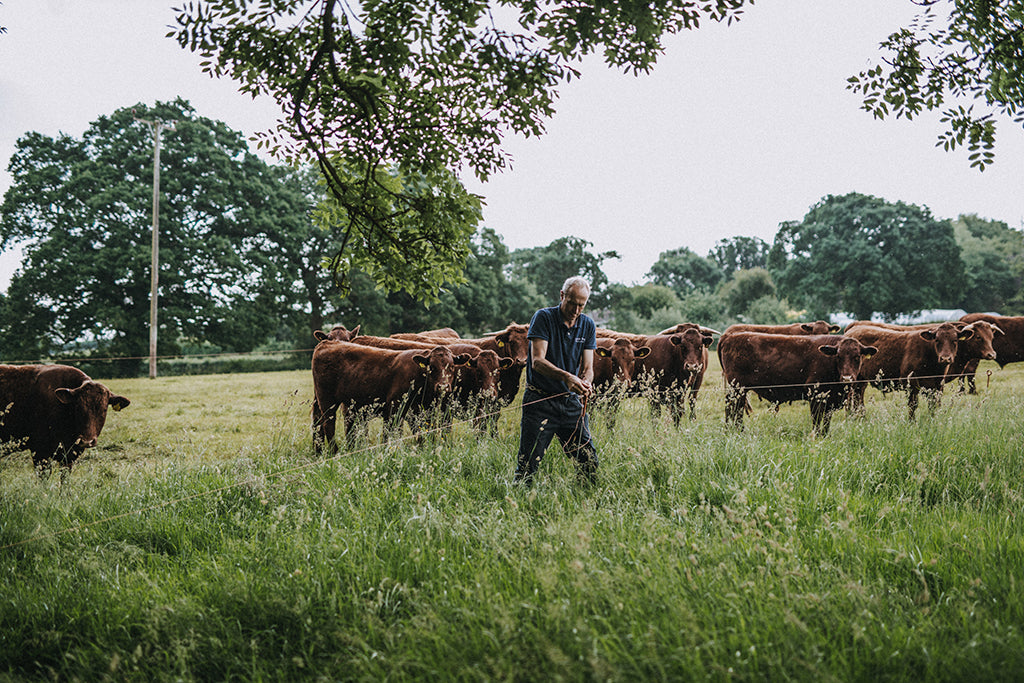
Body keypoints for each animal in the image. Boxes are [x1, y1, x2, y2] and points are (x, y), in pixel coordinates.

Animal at [311, 342, 471, 454]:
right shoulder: (395, 406)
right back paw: (334, 452)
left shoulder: (424, 410)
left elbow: (425, 430)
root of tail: (327, 342)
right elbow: (392, 432)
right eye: (431, 367)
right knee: (328, 425)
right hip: (327, 399)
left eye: (451, 366)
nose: (442, 387)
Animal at [716, 333, 876, 436]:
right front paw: (817, 437)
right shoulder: (815, 394)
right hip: (737, 387)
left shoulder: (829, 400)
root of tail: (729, 336)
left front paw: (825, 436)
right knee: (735, 408)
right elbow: (817, 420)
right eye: (839, 356)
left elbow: (826, 421)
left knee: (732, 407)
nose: (847, 378)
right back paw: (738, 431)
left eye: (857, 357)